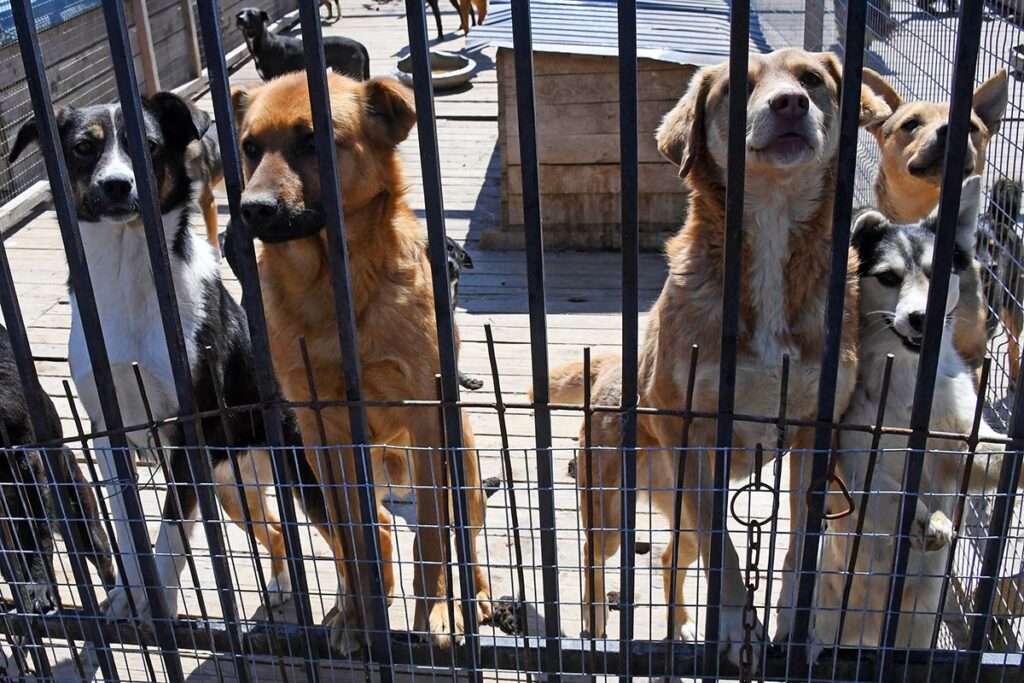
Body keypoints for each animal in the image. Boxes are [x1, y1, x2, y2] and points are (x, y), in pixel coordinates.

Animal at [548, 49, 892, 667]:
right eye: (738, 86)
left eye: (812, 80)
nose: (789, 104)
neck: (772, 228)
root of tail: (609, 367)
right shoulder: (692, 433)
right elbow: (726, 553)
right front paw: (736, 625)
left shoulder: (816, 432)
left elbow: (800, 548)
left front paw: (794, 625)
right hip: (612, 508)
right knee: (593, 561)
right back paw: (594, 625)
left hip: (676, 509)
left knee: (668, 557)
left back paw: (677, 629)